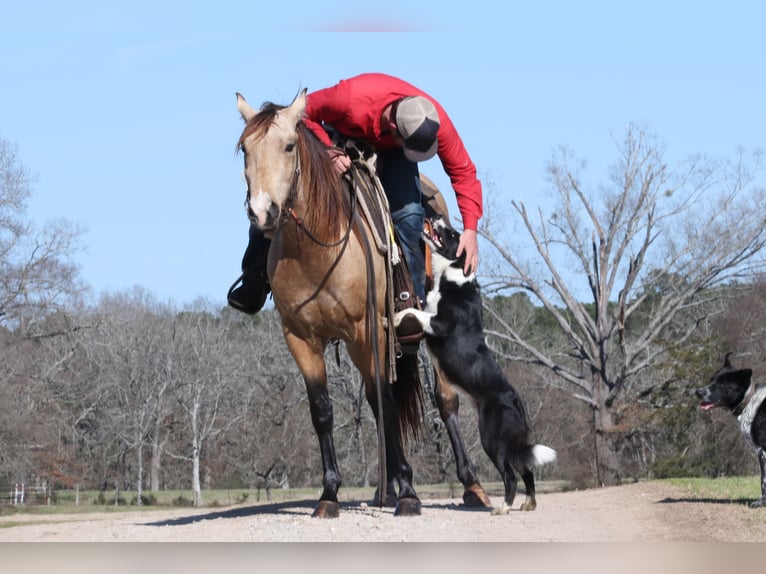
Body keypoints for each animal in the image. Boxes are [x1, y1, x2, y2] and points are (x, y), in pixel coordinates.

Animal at [236, 89, 492, 516]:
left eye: (288, 146)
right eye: (244, 149)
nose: (262, 212)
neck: (317, 249)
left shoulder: (366, 332)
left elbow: (385, 403)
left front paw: (409, 492)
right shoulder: (300, 339)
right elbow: (323, 411)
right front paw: (330, 493)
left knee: (445, 401)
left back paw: (471, 486)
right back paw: (383, 490)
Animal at [396, 217, 560, 516]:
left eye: (452, 234)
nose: (434, 215)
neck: (453, 275)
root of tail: (515, 402)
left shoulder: (439, 325)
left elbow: (413, 312)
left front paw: (394, 316)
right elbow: (418, 307)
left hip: (492, 440)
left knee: (510, 475)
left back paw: (503, 507)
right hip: (510, 442)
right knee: (526, 470)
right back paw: (528, 504)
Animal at [696, 356, 766, 508]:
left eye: (722, 385)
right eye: (711, 380)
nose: (698, 392)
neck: (749, 400)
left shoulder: (763, 451)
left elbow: (763, 481)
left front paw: (761, 502)